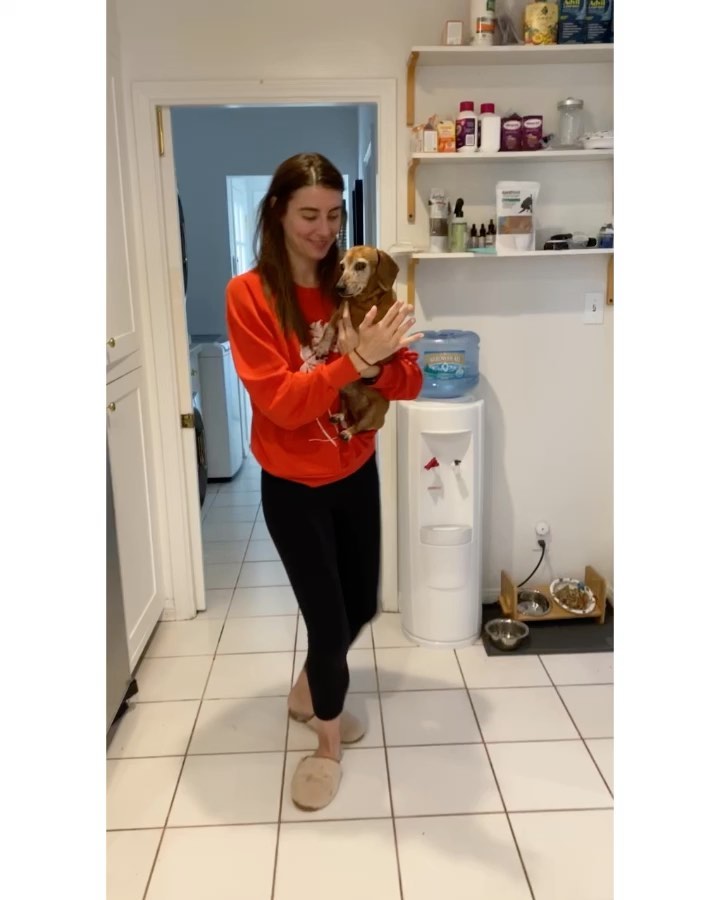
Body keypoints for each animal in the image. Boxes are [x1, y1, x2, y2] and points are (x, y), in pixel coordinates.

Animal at [315, 246, 400, 441]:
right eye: (342, 266)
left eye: (360, 265)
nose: (339, 287)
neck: (364, 302)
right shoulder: (339, 313)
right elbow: (329, 329)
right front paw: (322, 347)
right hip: (342, 394)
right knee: (346, 410)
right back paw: (340, 416)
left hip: (373, 413)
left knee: (359, 426)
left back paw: (348, 432)